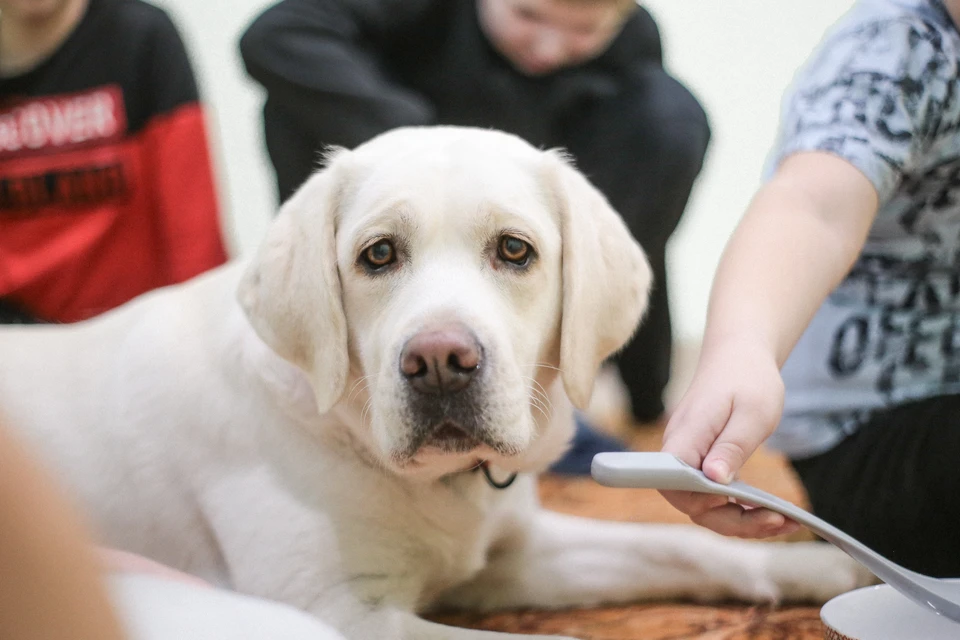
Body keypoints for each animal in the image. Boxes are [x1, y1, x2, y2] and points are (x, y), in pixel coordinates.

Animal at [0, 126, 868, 640]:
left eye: (515, 250)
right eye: (378, 255)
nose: (441, 361)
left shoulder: (516, 552)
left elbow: (676, 548)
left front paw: (825, 568)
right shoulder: (337, 609)